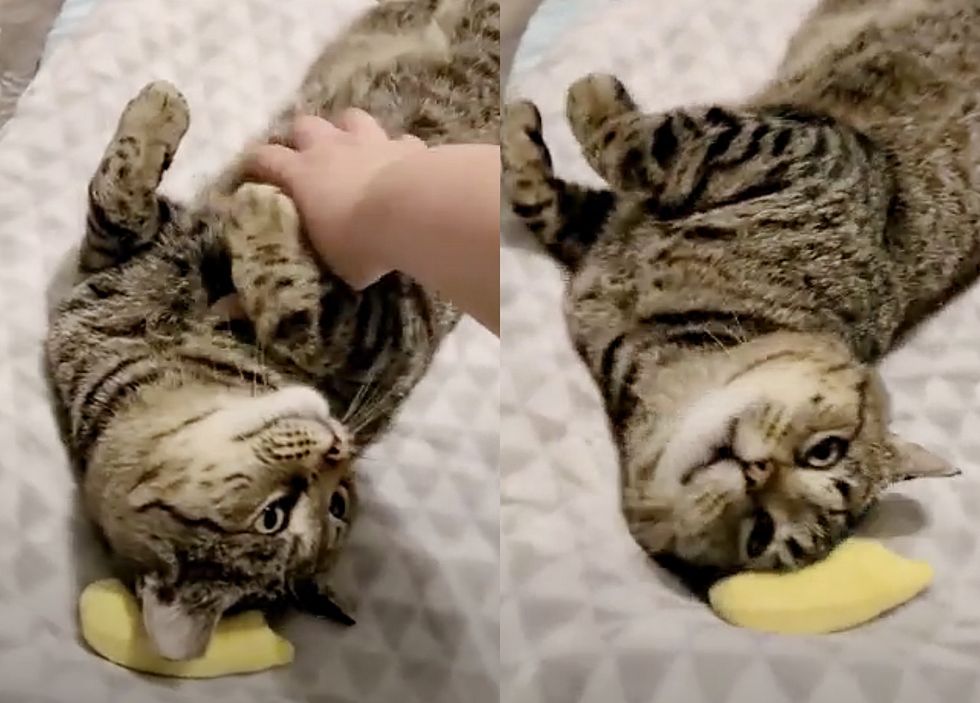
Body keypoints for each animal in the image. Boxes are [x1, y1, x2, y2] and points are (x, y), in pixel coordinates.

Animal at [46, 0, 498, 660]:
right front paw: (165, 115)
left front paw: (243, 194)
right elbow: (116, 197)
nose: (339, 447)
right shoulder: (112, 267)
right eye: (275, 517)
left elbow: (306, 312)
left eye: (338, 503)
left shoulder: (390, 334)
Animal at [506, 0, 972, 576]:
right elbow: (556, 192)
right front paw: (536, 121)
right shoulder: (805, 152)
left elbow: (661, 142)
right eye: (826, 451)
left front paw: (586, 95)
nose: (756, 472)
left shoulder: (770, 151)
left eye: (761, 535)